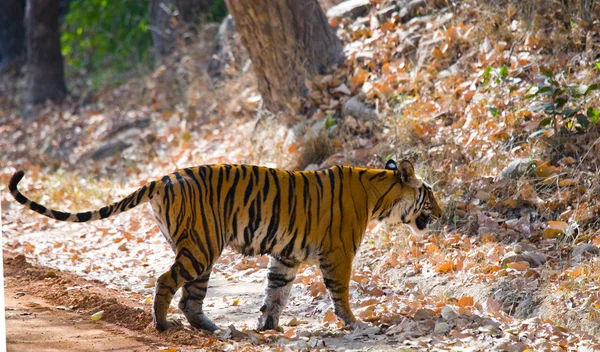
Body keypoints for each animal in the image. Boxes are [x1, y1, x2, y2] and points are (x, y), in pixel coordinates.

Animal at [8, 160, 440, 332]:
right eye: (429, 195)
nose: (441, 211)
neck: (378, 194)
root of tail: (164, 177)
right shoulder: (338, 254)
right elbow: (341, 292)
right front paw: (354, 323)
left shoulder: (286, 256)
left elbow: (275, 292)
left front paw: (268, 326)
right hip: (201, 247)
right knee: (166, 282)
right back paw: (162, 326)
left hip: (201, 251)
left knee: (191, 297)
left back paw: (212, 329)